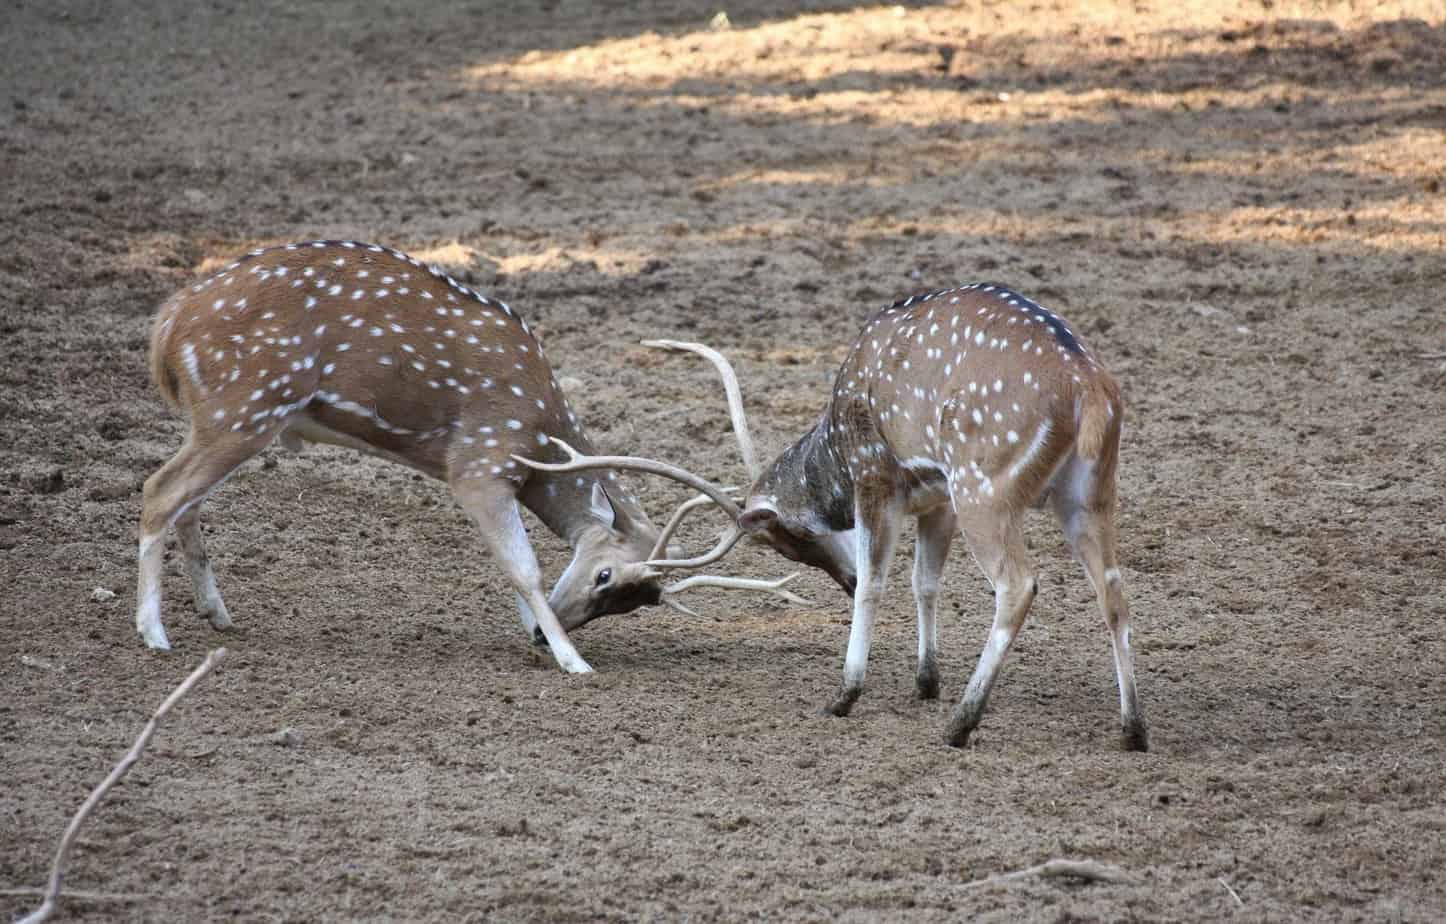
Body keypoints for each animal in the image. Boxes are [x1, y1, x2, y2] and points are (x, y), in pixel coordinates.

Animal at [140, 240, 809, 670]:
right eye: (605, 575)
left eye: (632, 604)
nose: (543, 635)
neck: (539, 432)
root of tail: (168, 323)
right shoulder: (478, 464)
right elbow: (523, 565)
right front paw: (574, 662)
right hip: (244, 407)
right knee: (159, 491)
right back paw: (154, 633)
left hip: (225, 420)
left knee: (187, 501)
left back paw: (216, 613)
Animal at [520, 286, 1151, 746]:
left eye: (788, 536)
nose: (837, 576)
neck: (835, 455)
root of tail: (1091, 391)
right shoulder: (936, 498)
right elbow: (925, 582)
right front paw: (925, 682)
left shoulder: (879, 477)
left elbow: (877, 583)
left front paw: (845, 695)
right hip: (1089, 491)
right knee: (1114, 590)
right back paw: (1132, 730)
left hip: (986, 484)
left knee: (1018, 585)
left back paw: (962, 724)